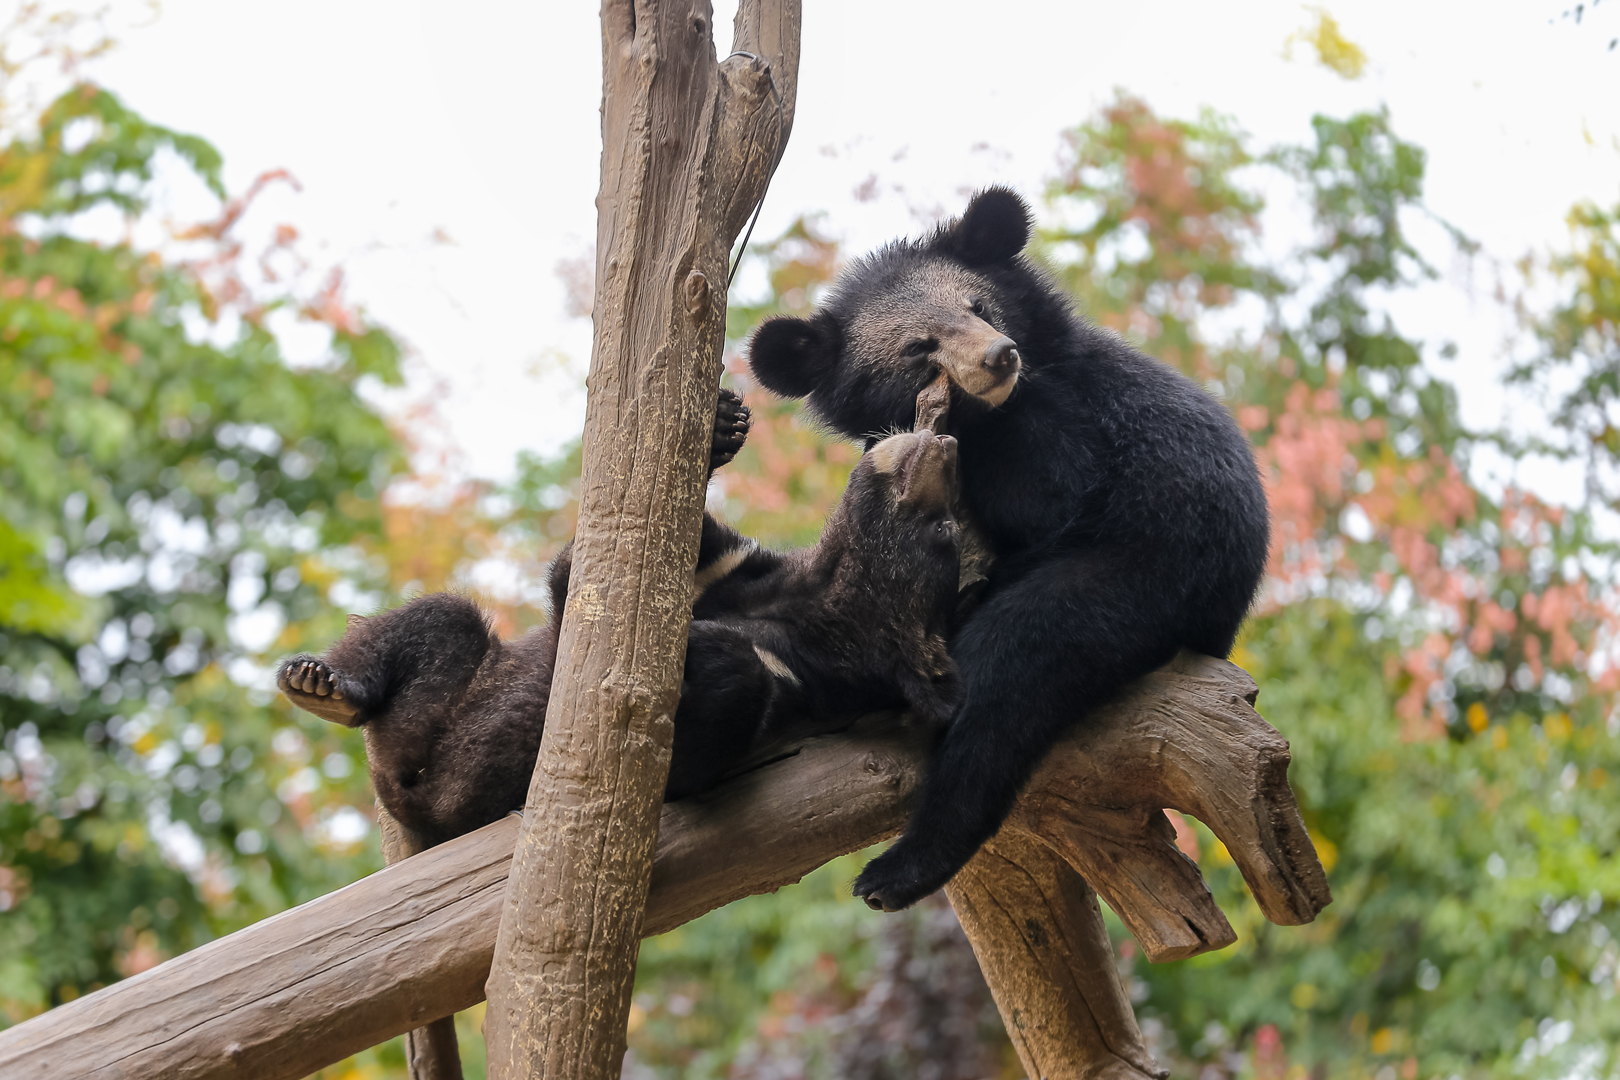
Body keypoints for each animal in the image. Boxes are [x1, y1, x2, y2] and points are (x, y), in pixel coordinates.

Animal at [277, 390, 965, 848]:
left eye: (946, 531)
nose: (946, 439)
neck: (805, 603)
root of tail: (402, 792)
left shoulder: (791, 689)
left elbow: (690, 751)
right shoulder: (735, 573)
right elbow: (590, 573)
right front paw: (721, 426)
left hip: (435, 771)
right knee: (439, 621)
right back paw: (321, 684)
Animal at [746, 186, 1271, 911]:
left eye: (980, 307)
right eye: (920, 345)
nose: (1000, 357)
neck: (976, 421)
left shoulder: (1060, 427)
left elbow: (1051, 497)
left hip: (1136, 580)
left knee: (1007, 676)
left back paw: (895, 872)